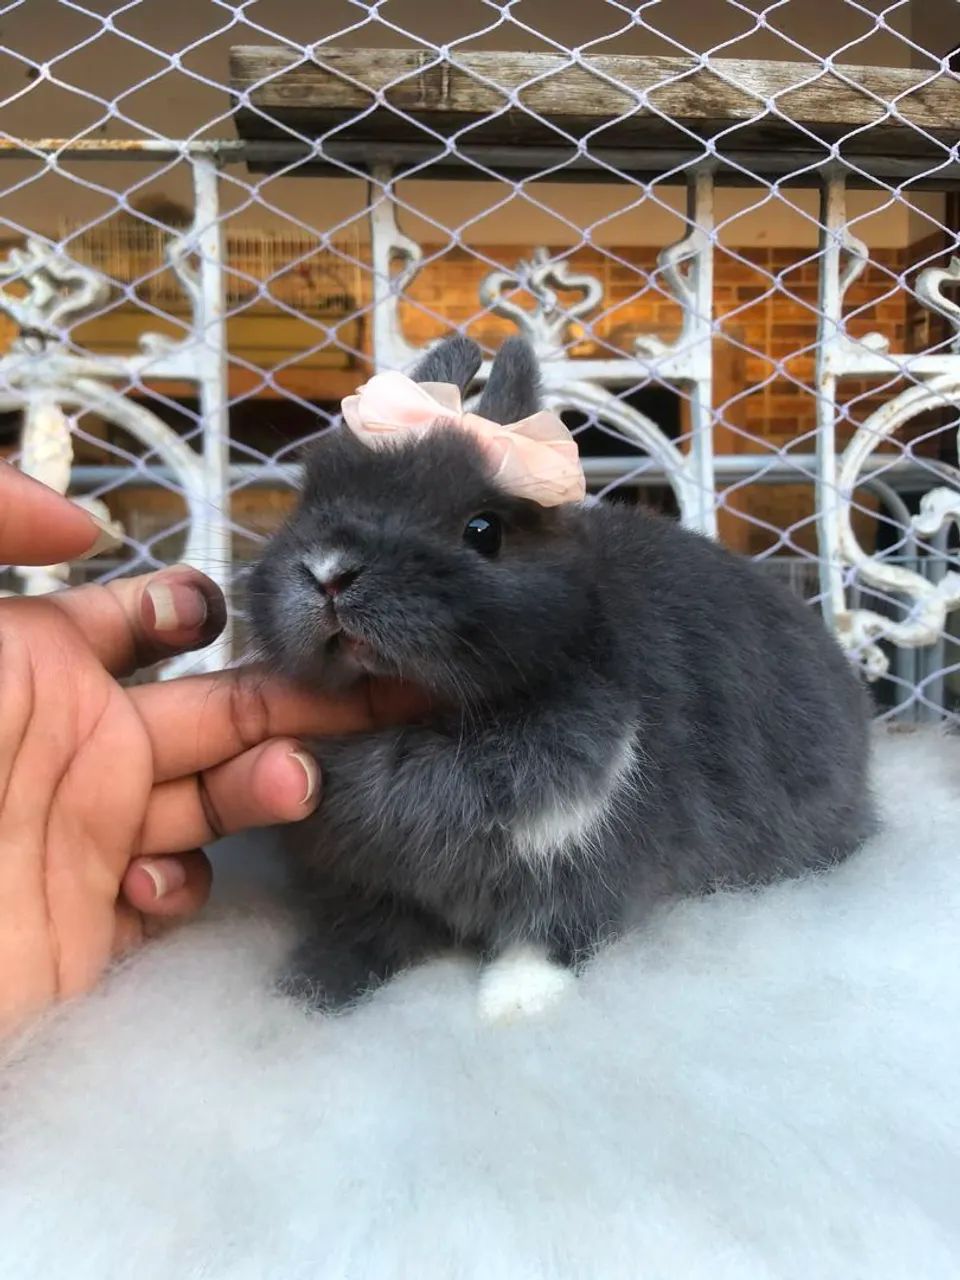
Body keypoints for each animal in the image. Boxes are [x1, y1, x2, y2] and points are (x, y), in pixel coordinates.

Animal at [248, 333, 874, 1022]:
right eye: (310, 498)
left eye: (484, 530)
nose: (329, 572)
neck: (432, 722)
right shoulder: (365, 881)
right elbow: (361, 933)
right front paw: (308, 990)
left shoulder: (592, 859)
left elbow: (553, 930)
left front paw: (514, 1003)